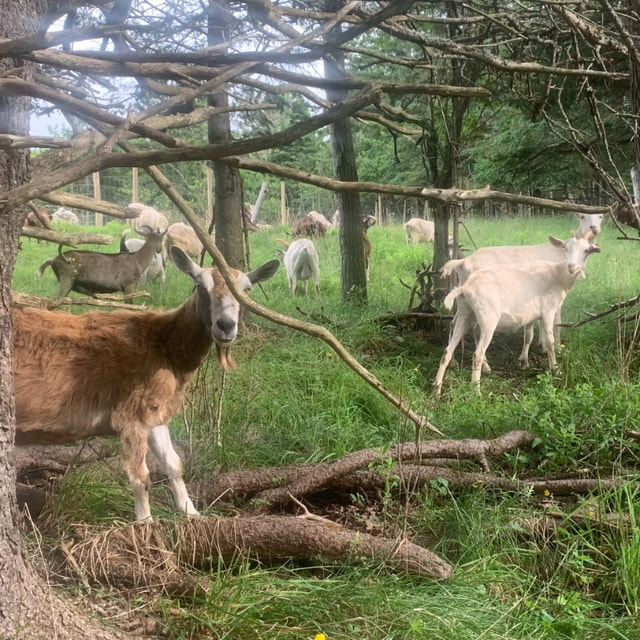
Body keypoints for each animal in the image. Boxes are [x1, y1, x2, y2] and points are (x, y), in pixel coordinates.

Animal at [14, 247, 280, 520]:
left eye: (247, 289)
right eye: (199, 286)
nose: (226, 325)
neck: (164, 347)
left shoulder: (154, 415)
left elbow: (174, 464)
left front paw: (192, 513)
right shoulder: (130, 415)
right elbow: (140, 476)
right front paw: (146, 521)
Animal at [433, 235, 601, 396]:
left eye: (586, 251)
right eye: (565, 248)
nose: (571, 267)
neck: (557, 275)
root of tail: (466, 287)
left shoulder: (531, 314)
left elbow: (529, 336)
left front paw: (524, 362)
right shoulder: (548, 310)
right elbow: (550, 341)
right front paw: (555, 368)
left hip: (466, 312)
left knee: (448, 349)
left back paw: (437, 388)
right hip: (488, 318)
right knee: (477, 354)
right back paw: (477, 390)